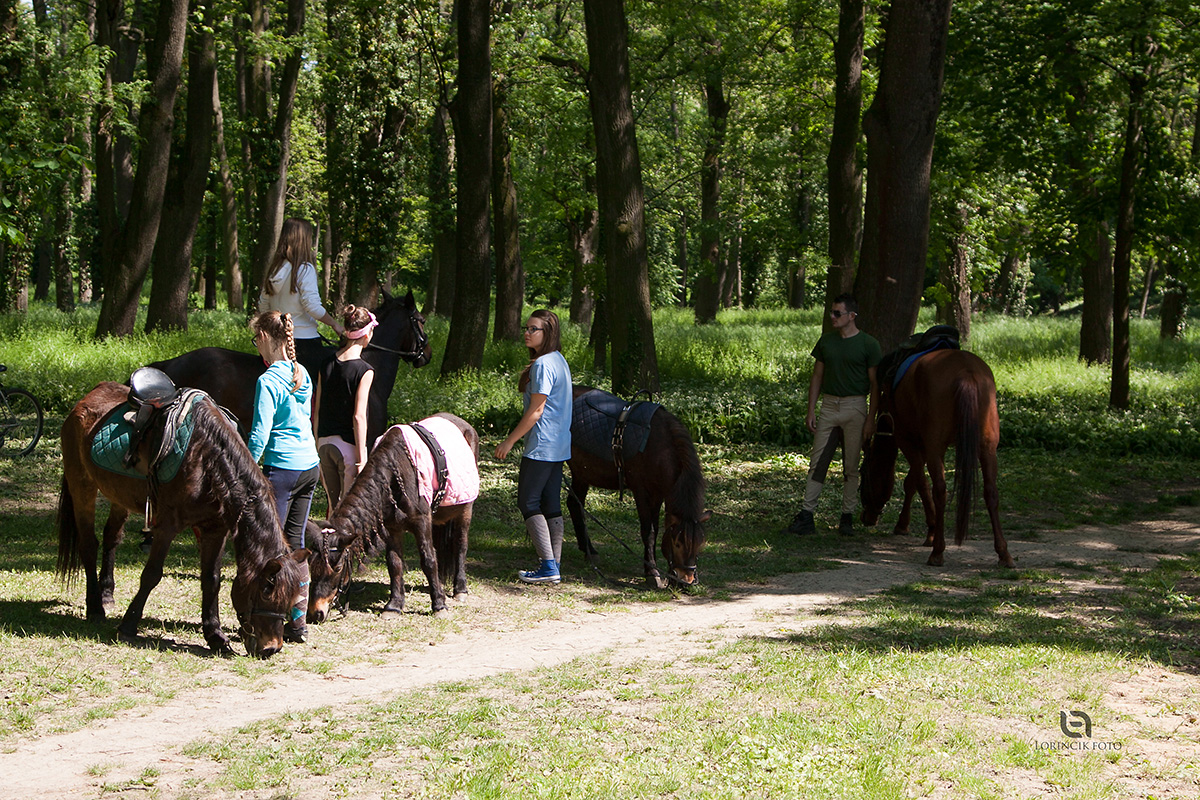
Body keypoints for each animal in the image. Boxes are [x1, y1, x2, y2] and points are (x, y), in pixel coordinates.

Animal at [56, 381, 309, 657]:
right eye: (266, 590)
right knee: (88, 545)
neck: (207, 460)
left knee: (111, 537)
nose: (271, 648)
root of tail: (88, 397)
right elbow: (151, 574)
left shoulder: (215, 530)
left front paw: (215, 635)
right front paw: (128, 625)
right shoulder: (166, 526)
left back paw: (106, 594)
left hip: (118, 496)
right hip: (82, 485)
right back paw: (94, 607)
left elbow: (212, 580)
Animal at [306, 413, 479, 622]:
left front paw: (439, 605)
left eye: (338, 568)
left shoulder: (422, 523)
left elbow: (429, 560)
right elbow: (394, 563)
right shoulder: (392, 529)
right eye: (310, 566)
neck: (393, 476)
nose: (316, 613)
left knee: (460, 545)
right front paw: (394, 605)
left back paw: (460, 588)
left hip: (465, 511)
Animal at [566, 386, 711, 587]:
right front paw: (652, 573)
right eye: (677, 543)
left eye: (700, 544)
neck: (659, 449)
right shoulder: (641, 492)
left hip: (582, 473)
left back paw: (589, 551)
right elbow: (648, 532)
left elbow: (656, 530)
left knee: (574, 503)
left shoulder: (658, 495)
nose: (686, 580)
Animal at [859, 348, 1014, 568]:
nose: (867, 517)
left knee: (940, 490)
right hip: (987, 449)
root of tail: (965, 373)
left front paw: (924, 530)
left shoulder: (908, 441)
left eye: (864, 476)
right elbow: (913, 481)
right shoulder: (922, 445)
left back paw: (937, 552)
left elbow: (918, 483)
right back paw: (1003, 553)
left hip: (936, 448)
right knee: (991, 492)